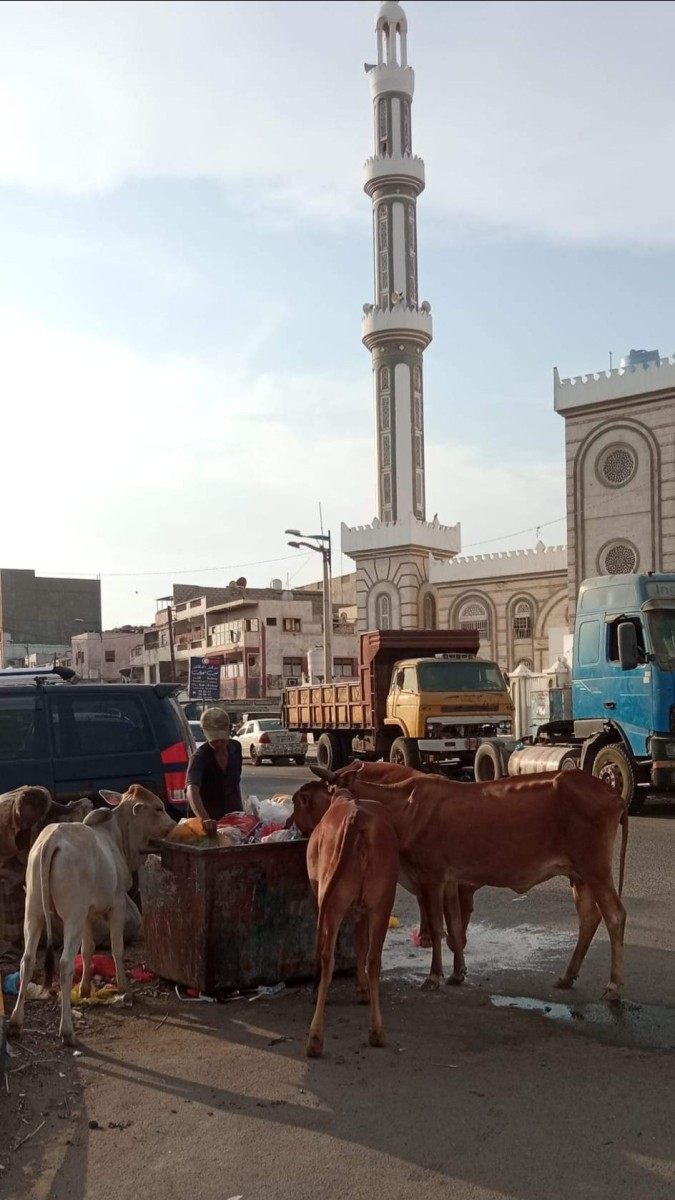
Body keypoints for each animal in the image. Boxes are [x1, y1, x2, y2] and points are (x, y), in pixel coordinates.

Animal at [9, 782, 171, 1046]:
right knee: (64, 964)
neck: (117, 836)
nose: (173, 824)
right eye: (158, 808)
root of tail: (52, 840)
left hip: (33, 912)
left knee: (27, 960)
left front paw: (85, 990)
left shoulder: (86, 914)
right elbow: (116, 949)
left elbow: (88, 950)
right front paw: (125, 990)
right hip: (70, 917)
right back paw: (67, 1031)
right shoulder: (116, 905)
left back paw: (15, 1024)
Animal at [302, 763, 629, 998]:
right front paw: (458, 973)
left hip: (595, 868)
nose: (322, 827)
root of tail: (611, 792)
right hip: (579, 875)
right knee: (589, 919)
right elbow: (456, 929)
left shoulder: (432, 877)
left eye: (331, 793)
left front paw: (434, 976)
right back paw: (567, 976)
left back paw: (614, 986)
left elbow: (437, 928)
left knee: (615, 915)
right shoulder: (450, 881)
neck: (404, 809)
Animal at [302, 787, 396, 1060]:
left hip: (331, 902)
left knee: (326, 956)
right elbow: (360, 944)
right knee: (374, 959)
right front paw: (362, 989)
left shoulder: (318, 895)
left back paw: (315, 1037)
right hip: (382, 902)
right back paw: (376, 1030)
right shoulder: (364, 910)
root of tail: (357, 817)